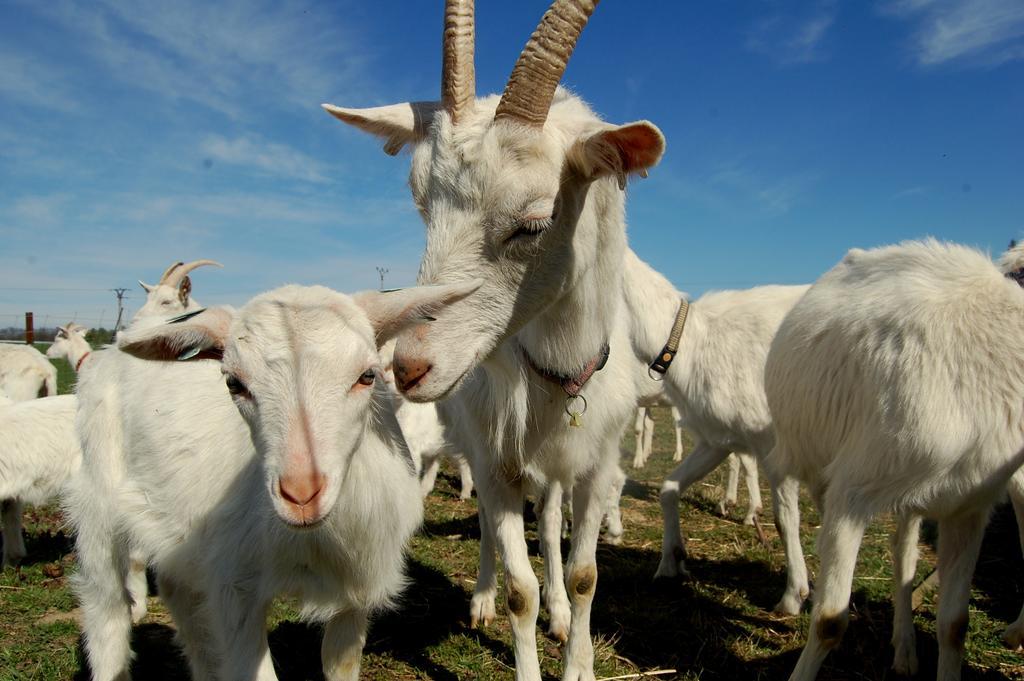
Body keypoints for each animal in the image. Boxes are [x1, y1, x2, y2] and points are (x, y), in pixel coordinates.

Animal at [68, 280, 475, 679]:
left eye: (367, 376)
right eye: (233, 383)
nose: (301, 496)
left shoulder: (357, 585)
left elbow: (340, 666)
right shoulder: (234, 583)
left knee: (180, 597)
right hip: (98, 508)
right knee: (106, 611)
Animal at [323, 2, 667, 675]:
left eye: (534, 223)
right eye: (421, 204)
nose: (408, 366)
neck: (557, 371)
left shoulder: (597, 461)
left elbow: (585, 574)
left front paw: (578, 658)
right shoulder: (496, 456)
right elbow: (518, 588)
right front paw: (512, 617)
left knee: (552, 521)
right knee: (488, 523)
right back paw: (481, 596)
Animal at [765, 238, 1024, 679]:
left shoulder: (969, 507)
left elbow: (954, 625)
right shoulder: (853, 491)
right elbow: (830, 620)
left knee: (903, 550)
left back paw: (904, 651)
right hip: (802, 448)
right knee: (791, 502)